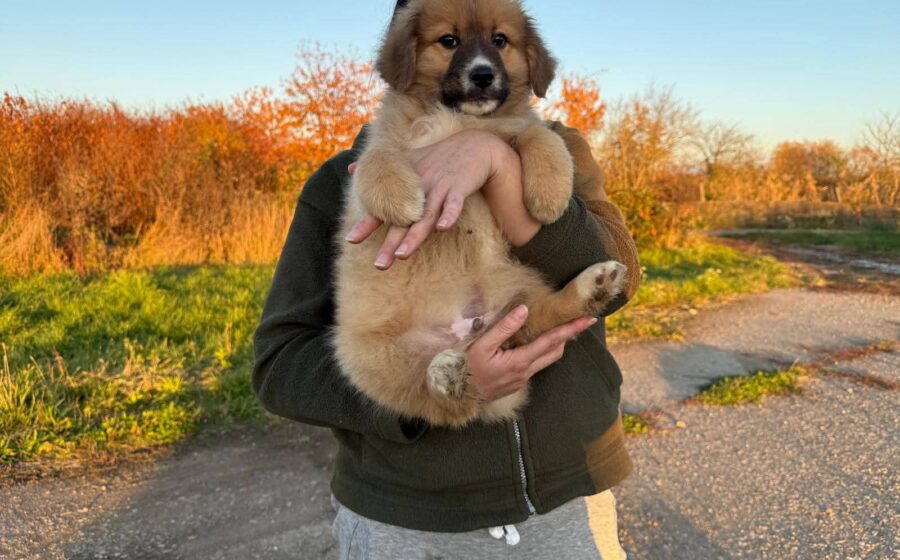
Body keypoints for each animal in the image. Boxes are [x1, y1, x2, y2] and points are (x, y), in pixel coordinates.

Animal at [333, 0, 626, 427]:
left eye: (499, 40)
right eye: (448, 40)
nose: (483, 75)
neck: (463, 119)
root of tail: (469, 332)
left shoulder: (509, 129)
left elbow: (539, 134)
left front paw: (550, 190)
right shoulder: (388, 141)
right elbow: (375, 160)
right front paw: (401, 199)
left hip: (521, 291)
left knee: (539, 319)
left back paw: (594, 287)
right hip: (372, 362)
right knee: (440, 402)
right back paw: (448, 376)